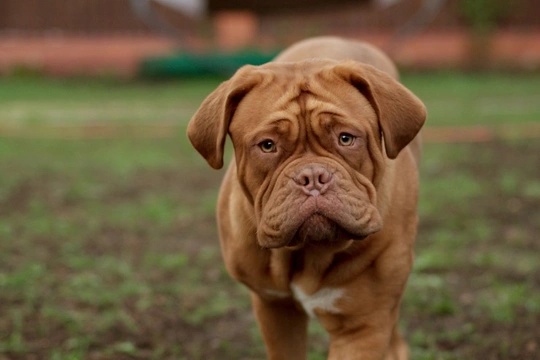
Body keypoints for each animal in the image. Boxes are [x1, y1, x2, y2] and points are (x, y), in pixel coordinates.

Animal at [188, 37, 428, 360]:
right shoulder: (275, 309)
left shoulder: (363, 324)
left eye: (345, 138)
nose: (312, 176)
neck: (309, 252)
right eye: (267, 145)